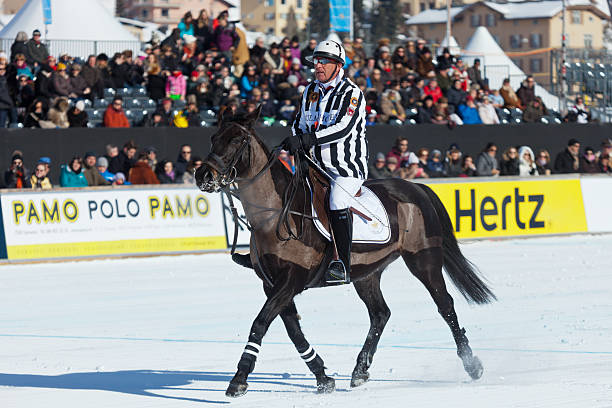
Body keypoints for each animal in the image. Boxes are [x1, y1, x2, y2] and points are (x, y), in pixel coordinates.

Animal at [196, 107, 498, 396]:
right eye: (212, 137)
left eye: (237, 139)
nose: (204, 176)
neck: (277, 215)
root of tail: (416, 187)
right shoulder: (272, 283)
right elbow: (293, 331)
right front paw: (323, 377)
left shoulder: (291, 280)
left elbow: (260, 323)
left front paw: (238, 380)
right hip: (366, 273)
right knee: (380, 314)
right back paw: (360, 369)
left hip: (424, 260)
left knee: (445, 305)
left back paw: (472, 364)